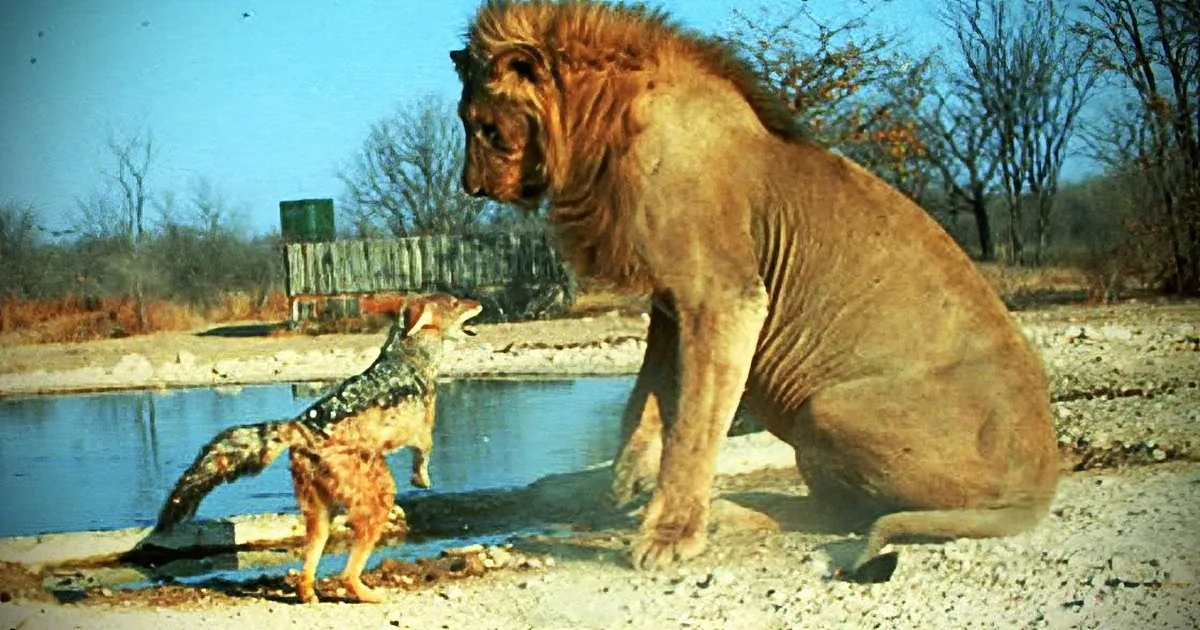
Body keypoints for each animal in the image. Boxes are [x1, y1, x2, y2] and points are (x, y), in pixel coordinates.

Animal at [449, 0, 1059, 576]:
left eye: (486, 127)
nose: (470, 186)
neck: (599, 128)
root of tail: (1041, 486)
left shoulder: (722, 296)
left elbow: (693, 428)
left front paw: (668, 535)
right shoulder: (672, 303)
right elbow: (644, 402)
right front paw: (623, 482)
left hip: (825, 407)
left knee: (840, 512)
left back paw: (727, 514)